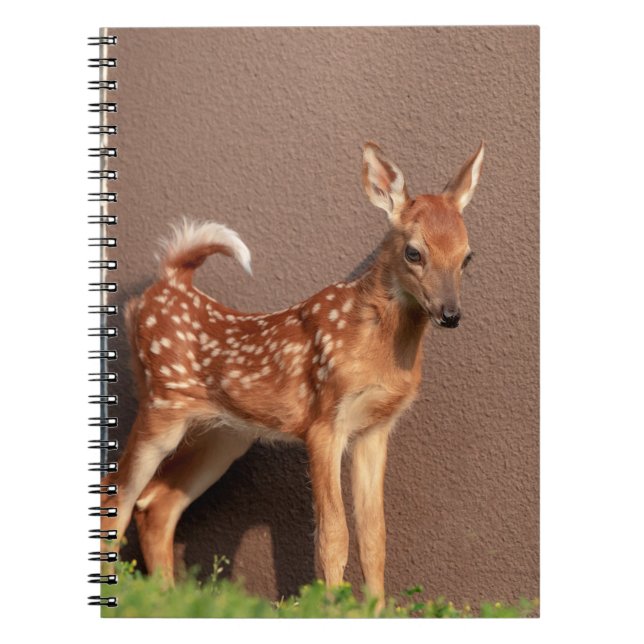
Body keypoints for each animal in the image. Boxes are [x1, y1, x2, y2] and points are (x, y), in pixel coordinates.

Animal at [100, 141, 484, 609]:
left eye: (468, 255)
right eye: (414, 252)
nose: (451, 314)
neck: (375, 347)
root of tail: (168, 282)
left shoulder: (375, 429)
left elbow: (375, 537)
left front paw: (375, 611)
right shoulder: (323, 422)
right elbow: (333, 535)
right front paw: (335, 609)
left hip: (224, 435)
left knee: (155, 504)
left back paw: (168, 601)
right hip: (162, 406)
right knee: (115, 495)